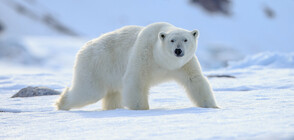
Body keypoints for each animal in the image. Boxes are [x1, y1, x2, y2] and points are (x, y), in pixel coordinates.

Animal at [55, 22, 218, 110]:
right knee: (88, 92)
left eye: (185, 39)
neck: (163, 61)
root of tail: (83, 48)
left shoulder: (184, 64)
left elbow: (195, 81)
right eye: (172, 40)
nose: (178, 51)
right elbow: (136, 81)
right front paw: (142, 109)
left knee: (112, 94)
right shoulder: (144, 53)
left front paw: (213, 107)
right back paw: (61, 103)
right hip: (95, 67)